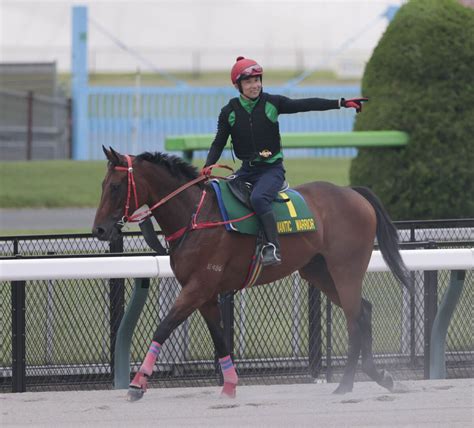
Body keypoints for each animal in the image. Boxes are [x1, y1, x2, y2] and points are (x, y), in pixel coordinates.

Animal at [92, 146, 412, 402]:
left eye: (116, 186)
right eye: (103, 183)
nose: (99, 229)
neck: (197, 217)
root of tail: (353, 193)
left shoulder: (197, 287)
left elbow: (163, 327)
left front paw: (137, 384)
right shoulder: (205, 294)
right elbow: (219, 337)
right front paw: (230, 385)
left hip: (346, 269)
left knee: (354, 319)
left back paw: (346, 384)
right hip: (318, 272)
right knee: (364, 311)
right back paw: (377, 376)